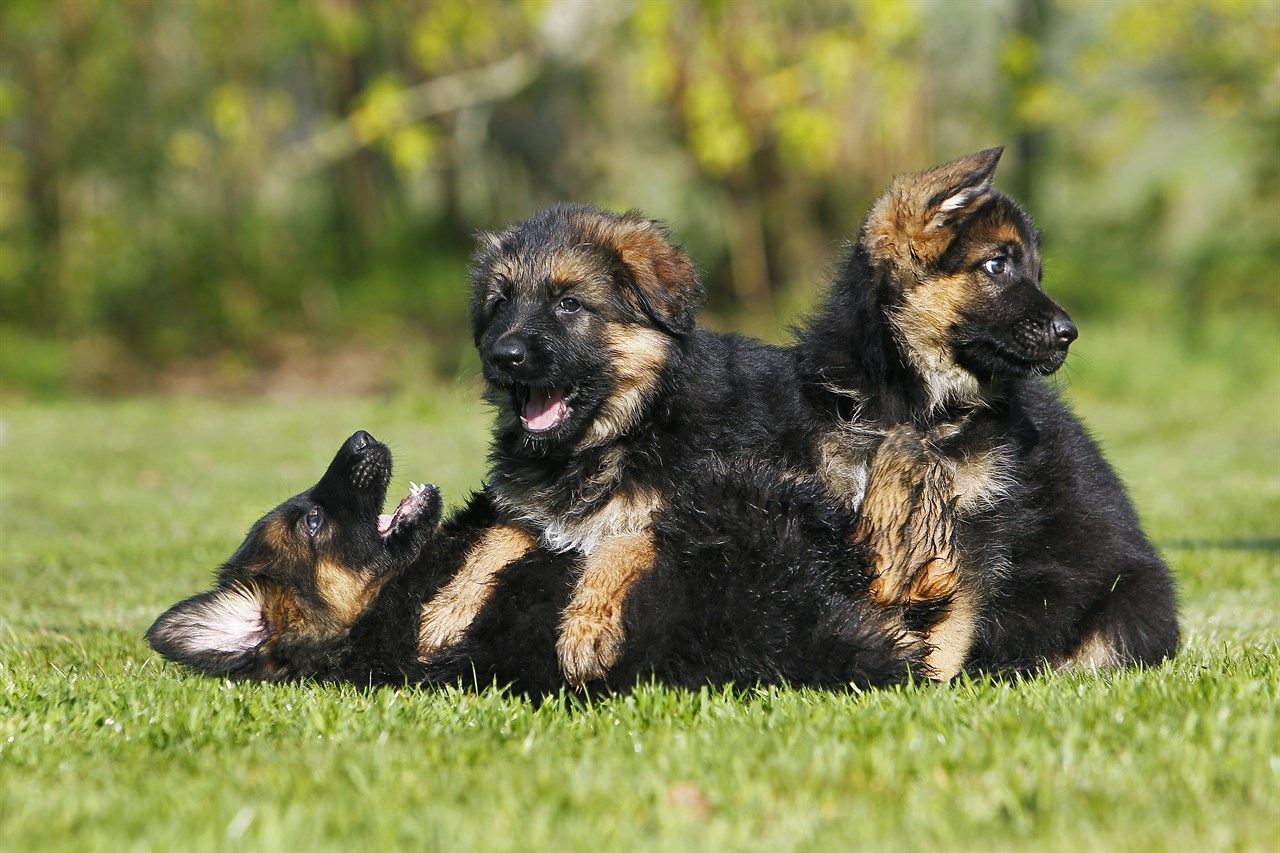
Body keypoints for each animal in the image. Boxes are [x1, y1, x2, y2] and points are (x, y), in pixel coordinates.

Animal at [798, 147, 1177, 676]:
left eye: (1037, 274)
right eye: (997, 265)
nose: (1070, 333)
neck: (922, 407)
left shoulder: (975, 525)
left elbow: (950, 622)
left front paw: (926, 679)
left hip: (1133, 598)